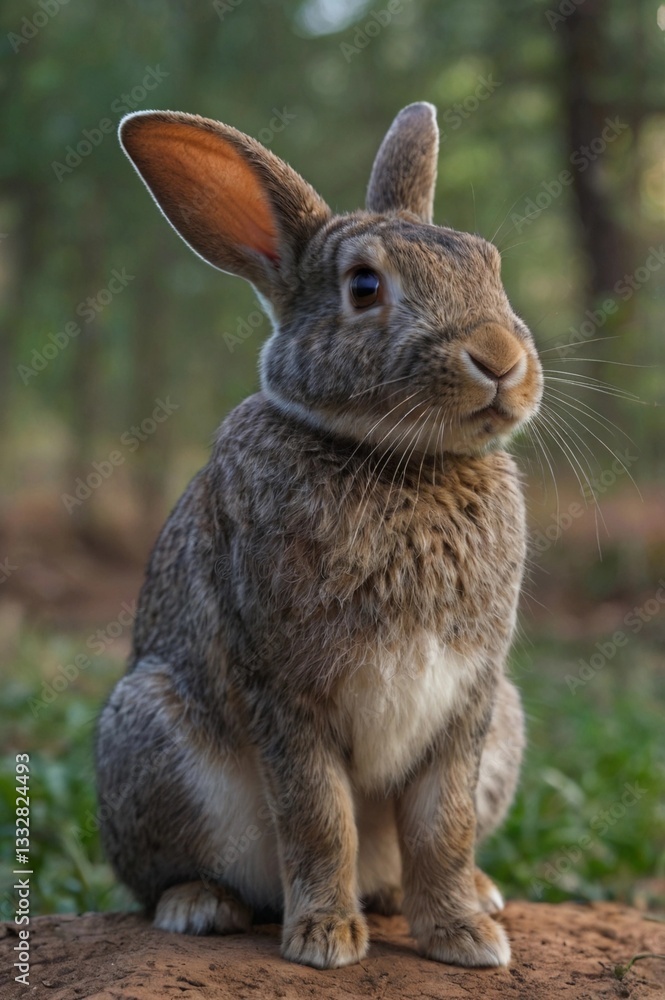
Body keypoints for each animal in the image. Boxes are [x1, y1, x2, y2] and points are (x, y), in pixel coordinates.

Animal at [95, 101, 542, 971]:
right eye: (364, 286)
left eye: (490, 264)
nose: (500, 360)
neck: (397, 460)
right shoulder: (286, 689)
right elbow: (318, 816)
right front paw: (326, 939)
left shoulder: (466, 700)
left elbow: (442, 825)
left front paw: (465, 939)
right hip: (151, 729)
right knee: (171, 875)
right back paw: (201, 906)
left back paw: (464, 897)